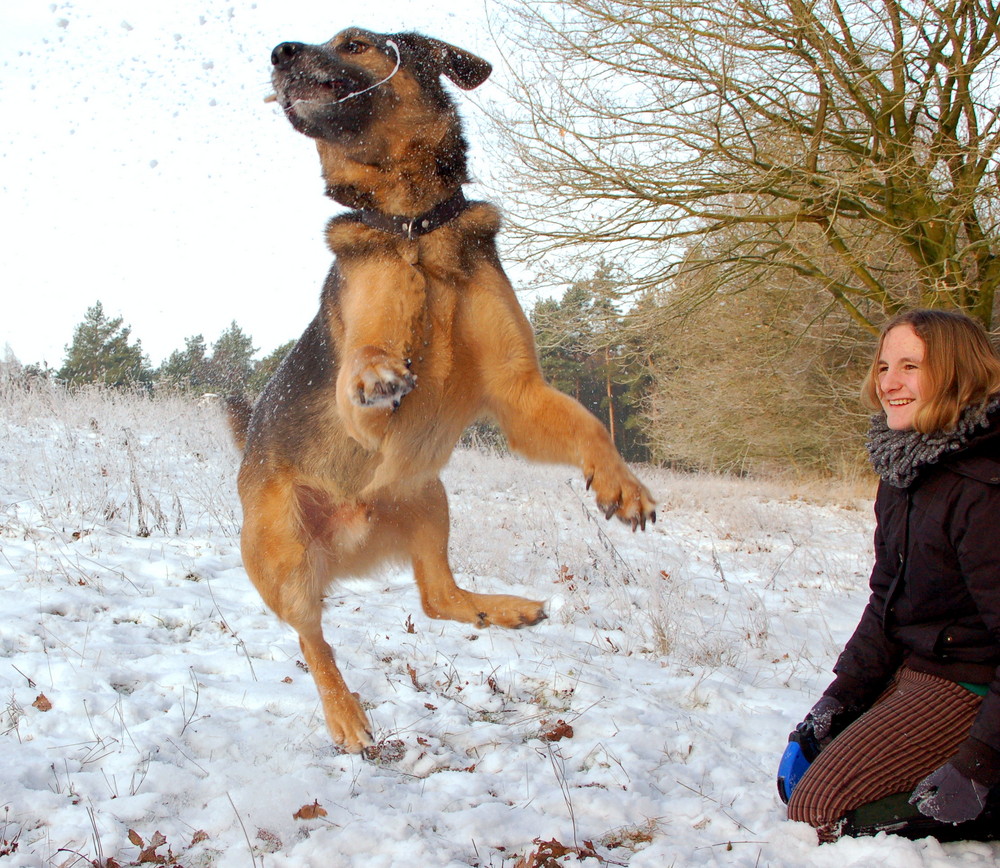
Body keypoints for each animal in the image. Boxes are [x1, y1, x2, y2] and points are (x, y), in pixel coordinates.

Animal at [231, 27, 660, 752]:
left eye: (355, 43)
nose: (281, 51)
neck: (416, 227)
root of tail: (350, 546)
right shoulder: (359, 399)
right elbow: (368, 362)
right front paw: (379, 371)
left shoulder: (520, 393)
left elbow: (589, 425)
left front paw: (622, 483)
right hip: (286, 550)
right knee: (312, 638)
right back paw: (345, 715)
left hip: (429, 499)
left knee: (436, 598)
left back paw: (503, 609)